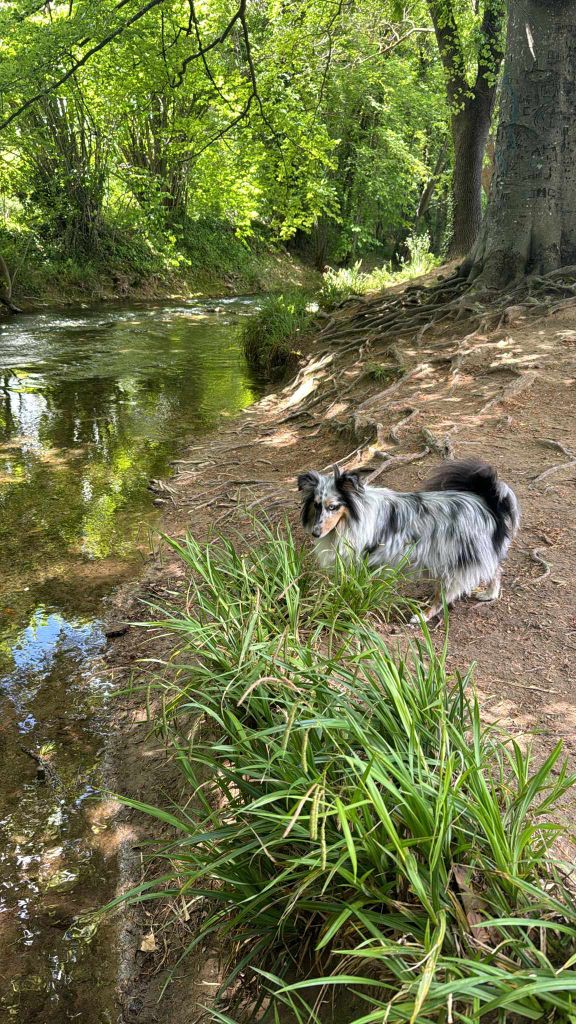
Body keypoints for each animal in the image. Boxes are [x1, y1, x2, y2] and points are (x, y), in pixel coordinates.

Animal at [297, 460, 518, 618]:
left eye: (333, 506)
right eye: (316, 505)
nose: (315, 533)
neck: (354, 514)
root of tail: (486, 503)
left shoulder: (362, 559)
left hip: (453, 563)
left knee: (444, 597)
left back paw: (422, 616)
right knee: (495, 570)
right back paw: (489, 595)